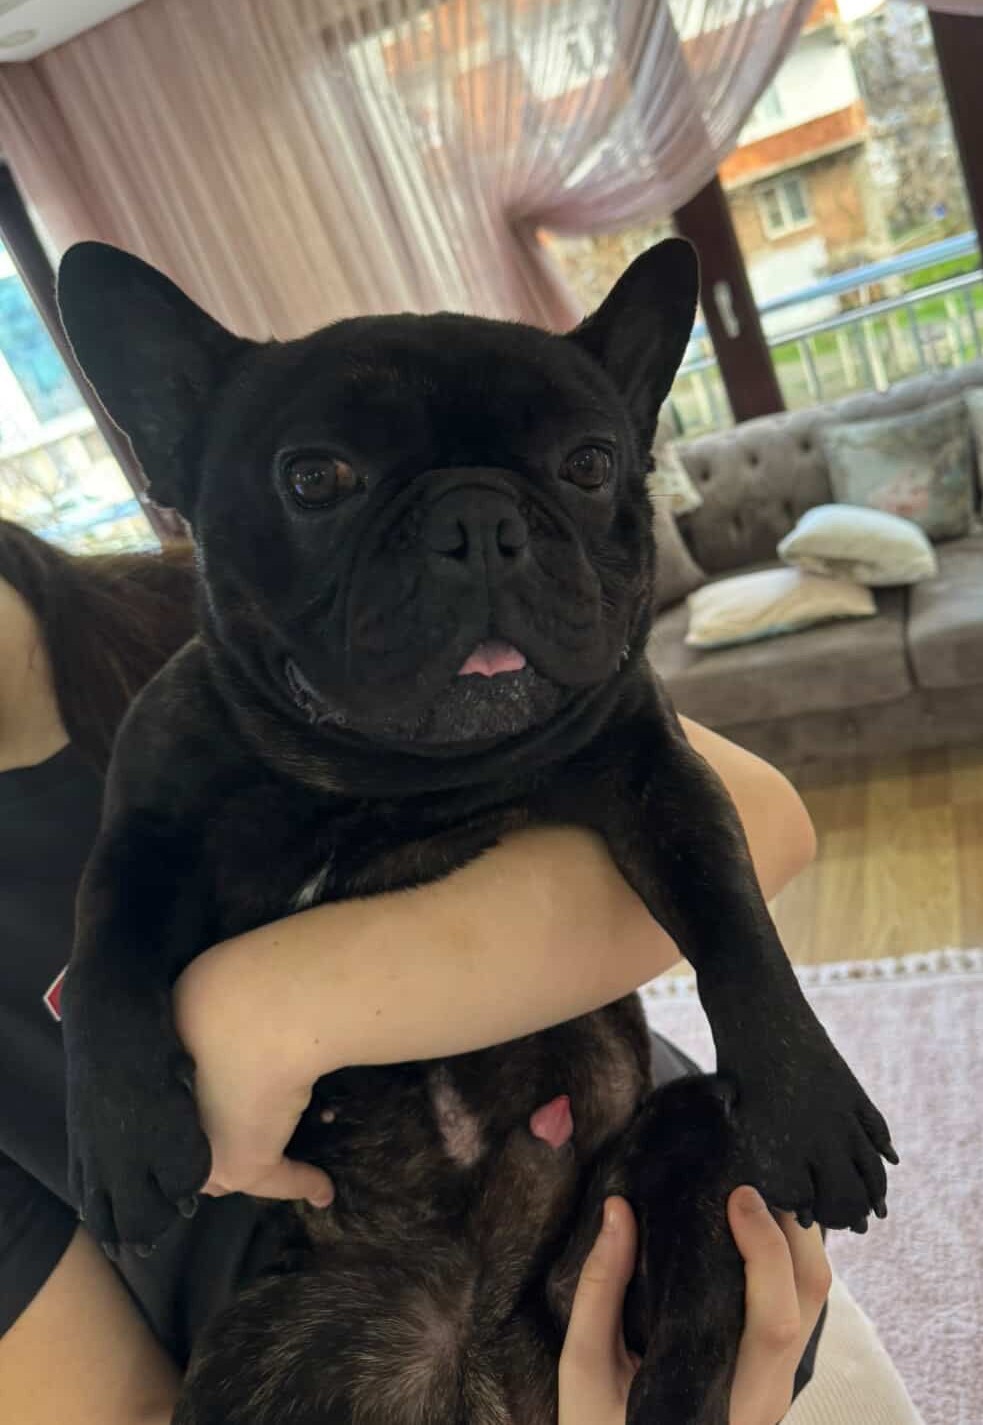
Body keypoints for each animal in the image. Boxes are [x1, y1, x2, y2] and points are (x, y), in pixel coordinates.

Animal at [57, 238, 895, 1425]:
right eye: (313, 478)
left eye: (589, 463)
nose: (480, 521)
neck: (390, 780)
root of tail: (475, 1336)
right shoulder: (146, 825)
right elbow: (104, 947)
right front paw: (123, 1129)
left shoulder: (657, 774)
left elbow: (730, 912)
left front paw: (808, 1098)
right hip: (259, 1347)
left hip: (680, 1170)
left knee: (686, 1314)